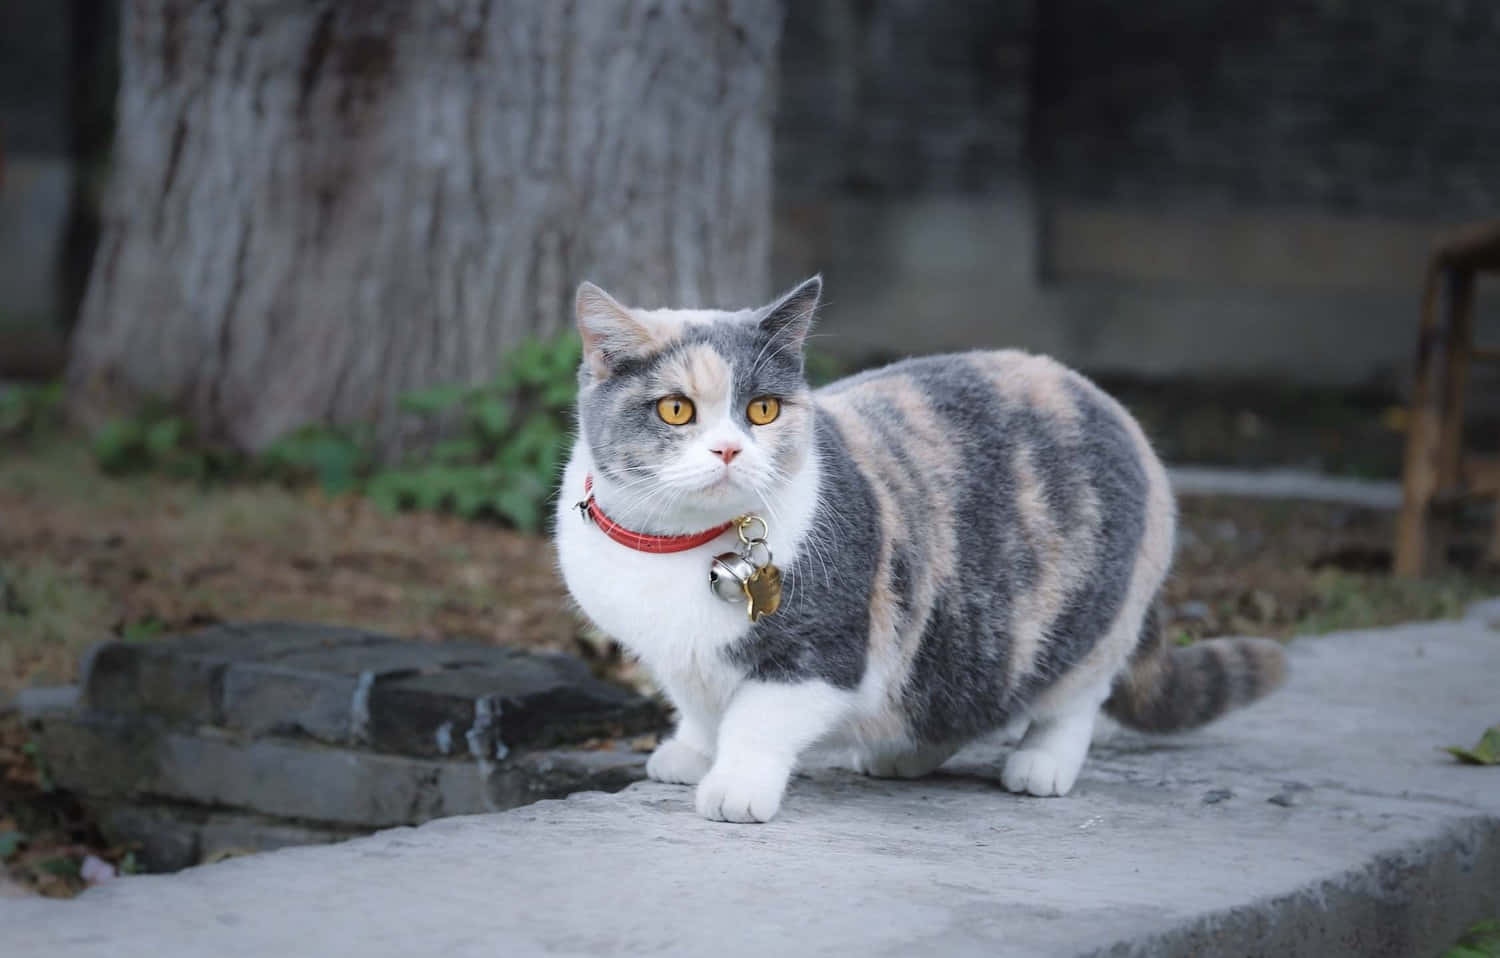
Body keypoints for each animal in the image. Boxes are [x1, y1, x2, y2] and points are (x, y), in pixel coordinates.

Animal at [558, 275, 1284, 827]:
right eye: (676, 410)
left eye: (762, 410)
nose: (730, 449)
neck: (679, 545)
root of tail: (1111, 406)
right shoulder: (674, 658)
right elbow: (698, 706)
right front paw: (689, 752)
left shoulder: (825, 651)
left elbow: (756, 720)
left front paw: (735, 786)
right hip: (964, 633)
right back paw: (903, 754)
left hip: (1088, 622)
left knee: (1075, 696)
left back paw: (1040, 764)